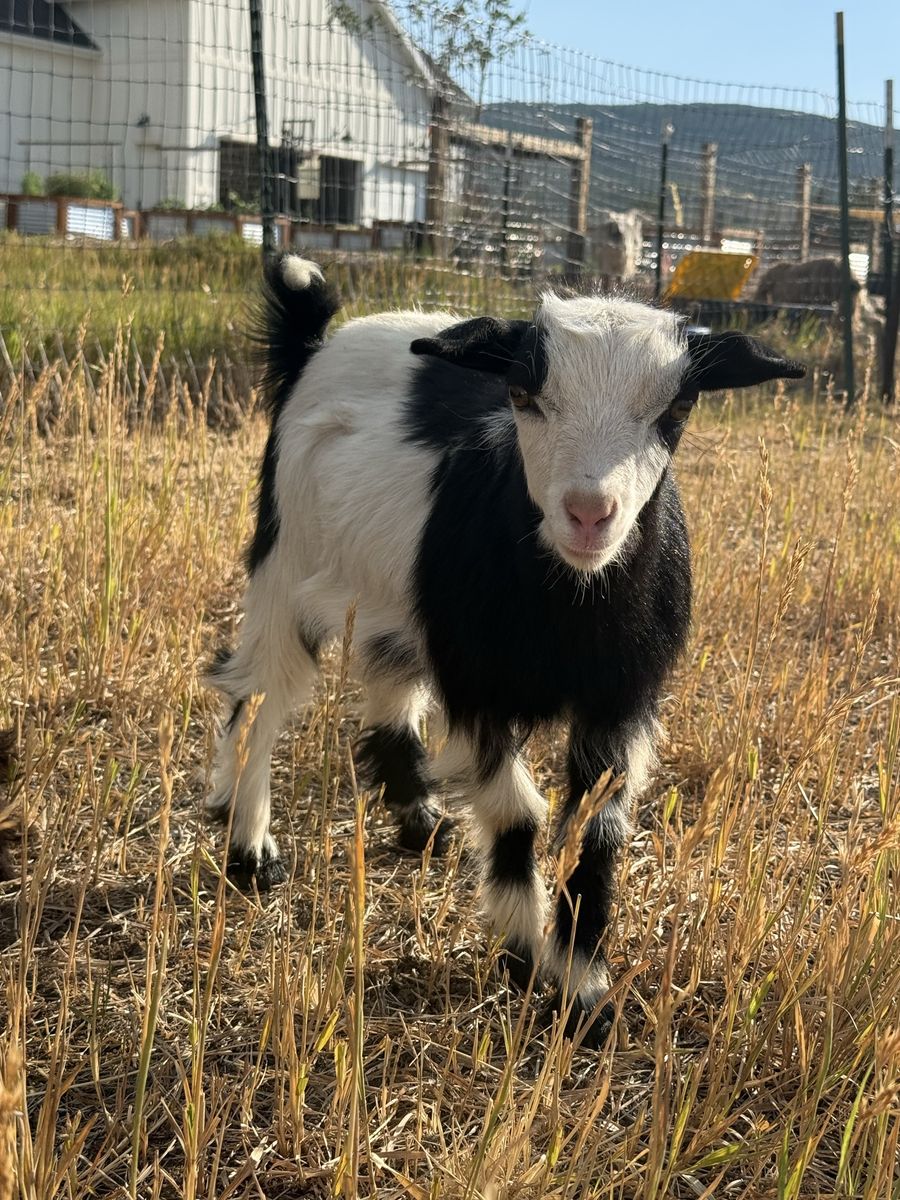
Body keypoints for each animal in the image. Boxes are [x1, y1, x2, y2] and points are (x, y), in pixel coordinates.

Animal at [207, 255, 805, 1045]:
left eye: (677, 406)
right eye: (524, 392)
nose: (589, 514)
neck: (568, 609)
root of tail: (318, 341)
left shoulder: (622, 699)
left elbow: (596, 833)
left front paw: (586, 994)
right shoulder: (478, 687)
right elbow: (520, 814)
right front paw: (524, 958)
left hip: (403, 600)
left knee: (388, 685)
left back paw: (422, 823)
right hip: (288, 555)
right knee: (259, 695)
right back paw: (251, 852)